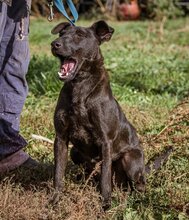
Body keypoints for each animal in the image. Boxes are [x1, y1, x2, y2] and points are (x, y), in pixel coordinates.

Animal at [51, 20, 172, 208]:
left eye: (79, 35)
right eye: (61, 34)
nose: (54, 44)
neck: (80, 86)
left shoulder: (105, 142)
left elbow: (105, 178)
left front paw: (106, 204)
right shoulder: (61, 138)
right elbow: (58, 174)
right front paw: (55, 200)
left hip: (131, 160)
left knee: (138, 184)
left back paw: (136, 199)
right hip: (75, 153)